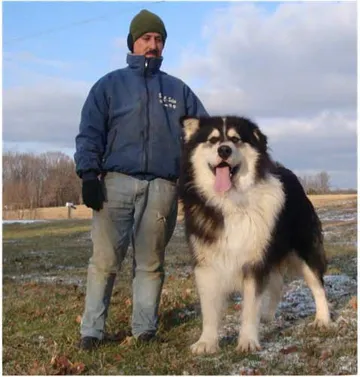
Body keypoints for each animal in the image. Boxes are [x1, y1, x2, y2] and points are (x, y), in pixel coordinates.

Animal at [179, 114, 330, 352]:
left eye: (236, 139)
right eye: (212, 140)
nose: (224, 150)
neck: (230, 201)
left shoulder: (254, 261)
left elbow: (250, 305)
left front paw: (248, 341)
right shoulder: (207, 262)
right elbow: (209, 309)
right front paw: (207, 342)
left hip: (304, 248)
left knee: (317, 284)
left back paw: (323, 319)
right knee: (277, 282)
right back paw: (267, 316)